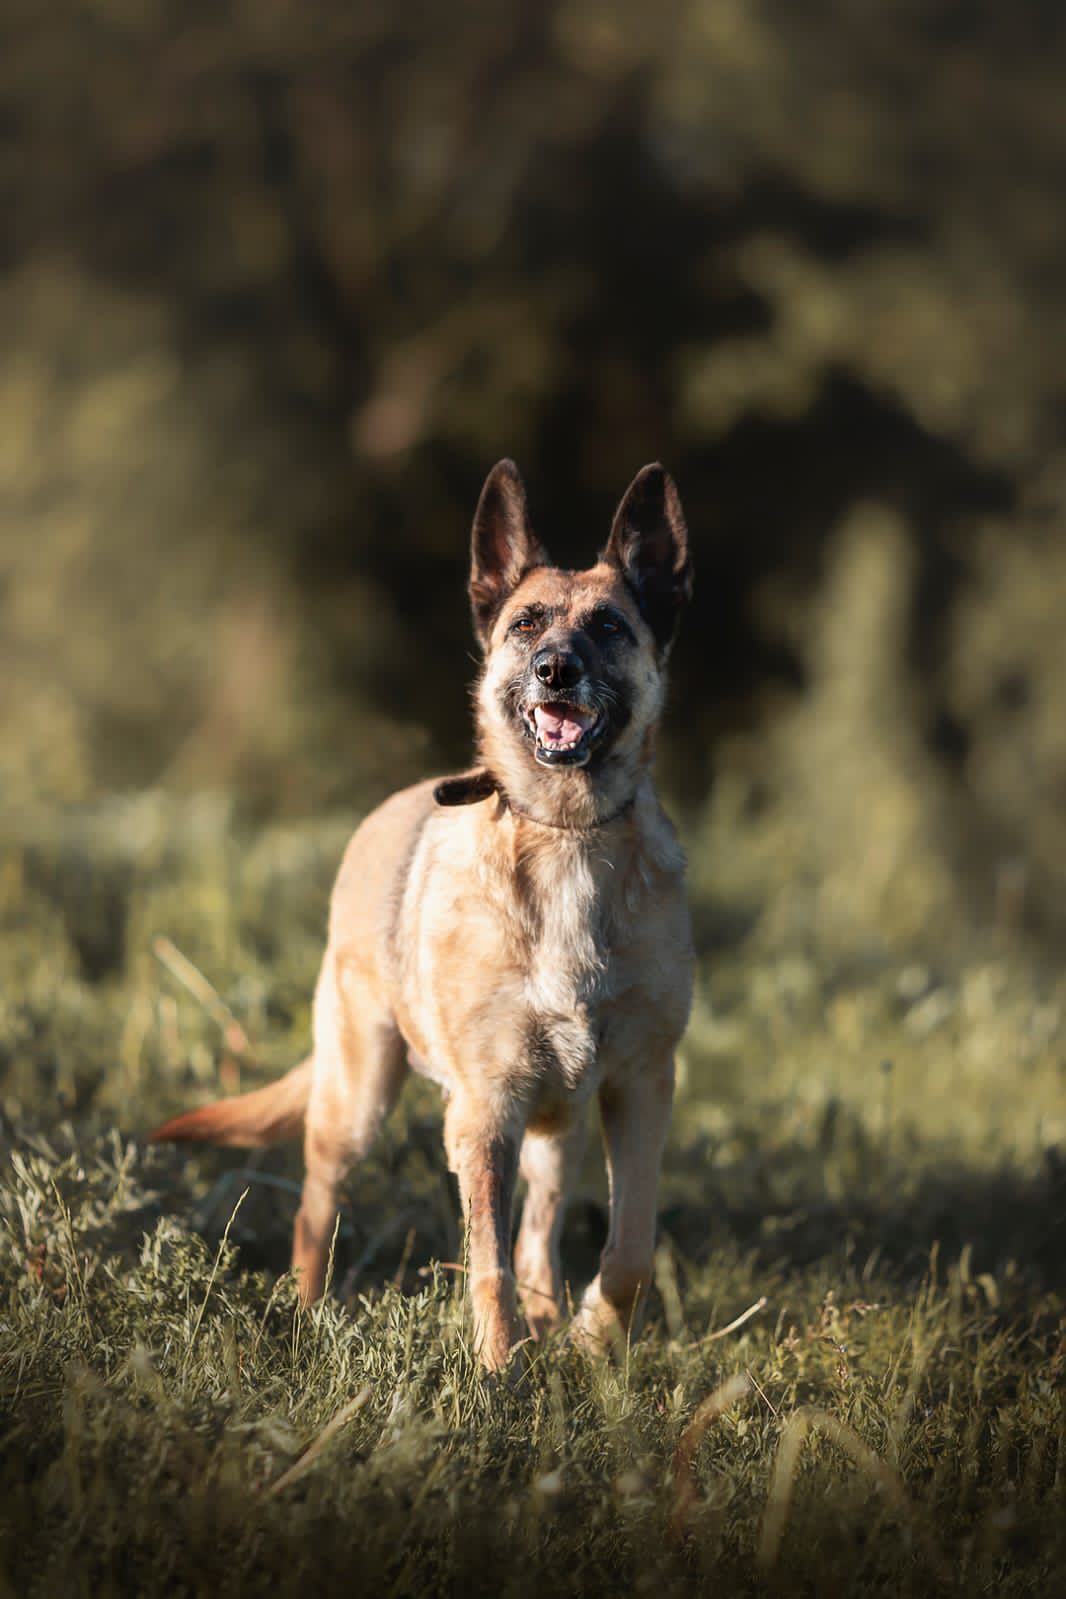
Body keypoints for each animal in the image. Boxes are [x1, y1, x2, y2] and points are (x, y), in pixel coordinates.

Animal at [154, 463, 696, 1375]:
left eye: (611, 626)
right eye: (526, 624)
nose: (554, 670)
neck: (564, 831)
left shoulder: (640, 1085)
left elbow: (627, 1248)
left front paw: (590, 1336)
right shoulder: (484, 1110)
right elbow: (487, 1263)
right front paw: (501, 1371)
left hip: (557, 1125)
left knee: (542, 1231)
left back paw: (553, 1315)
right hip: (358, 1098)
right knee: (317, 1208)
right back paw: (309, 1313)